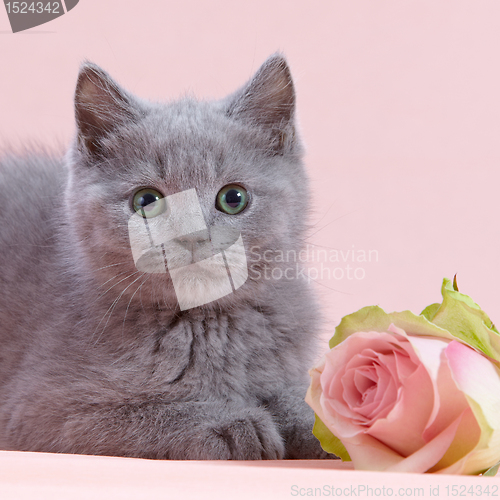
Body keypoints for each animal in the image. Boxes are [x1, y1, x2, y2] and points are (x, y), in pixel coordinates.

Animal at [0, 54, 328, 460]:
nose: (192, 236)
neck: (209, 329)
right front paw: (231, 424)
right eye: (146, 201)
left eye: (233, 197)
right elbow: (141, 413)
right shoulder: (39, 408)